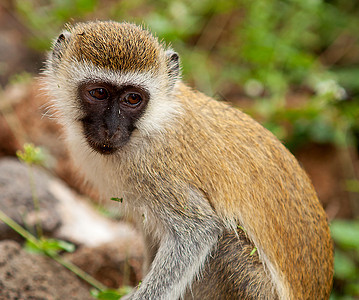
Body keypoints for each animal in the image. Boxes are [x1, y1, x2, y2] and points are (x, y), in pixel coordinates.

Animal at [44, 21, 334, 300]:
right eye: (99, 93)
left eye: (133, 98)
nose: (110, 129)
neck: (152, 124)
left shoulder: (155, 170)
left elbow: (197, 231)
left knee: (228, 245)